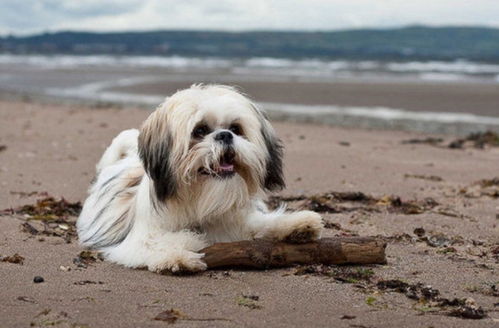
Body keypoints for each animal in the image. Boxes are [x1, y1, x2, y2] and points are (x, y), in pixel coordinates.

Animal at [76, 84, 322, 272]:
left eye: (236, 128)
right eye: (200, 130)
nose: (225, 135)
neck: (200, 199)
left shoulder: (239, 223)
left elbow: (262, 224)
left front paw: (297, 225)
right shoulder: (137, 241)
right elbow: (157, 243)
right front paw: (179, 253)